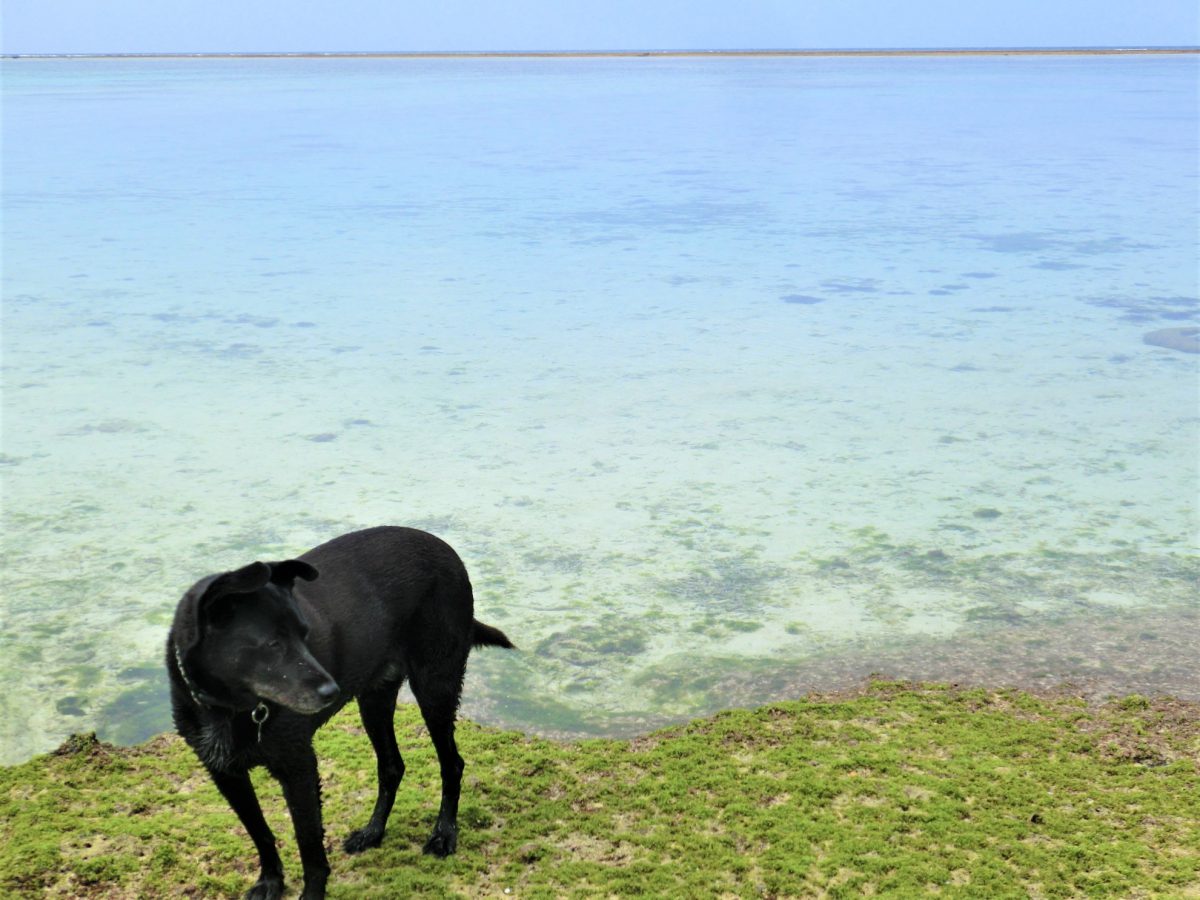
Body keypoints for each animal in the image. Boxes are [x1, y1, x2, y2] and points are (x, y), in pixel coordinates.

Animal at [165, 528, 511, 900]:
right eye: (273, 645)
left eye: (305, 635)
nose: (331, 691)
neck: (228, 709)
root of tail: (445, 548)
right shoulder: (225, 773)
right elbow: (259, 831)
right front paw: (270, 881)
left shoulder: (298, 767)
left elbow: (309, 843)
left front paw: (312, 893)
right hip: (374, 700)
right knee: (392, 766)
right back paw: (372, 832)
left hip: (435, 687)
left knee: (452, 763)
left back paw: (444, 834)